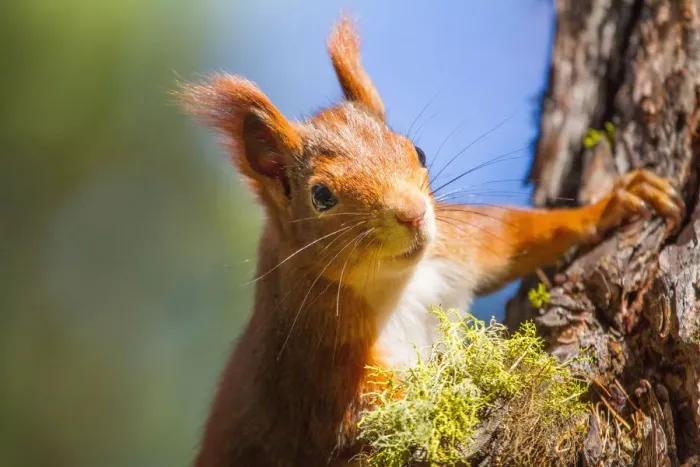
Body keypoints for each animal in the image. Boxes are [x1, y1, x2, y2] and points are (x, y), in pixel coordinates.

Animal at [179, 15, 685, 467]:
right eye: (321, 196)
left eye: (417, 152)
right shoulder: (316, 361)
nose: (413, 213)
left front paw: (612, 204)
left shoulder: (455, 247)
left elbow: (515, 236)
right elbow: (379, 412)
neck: (398, 282)